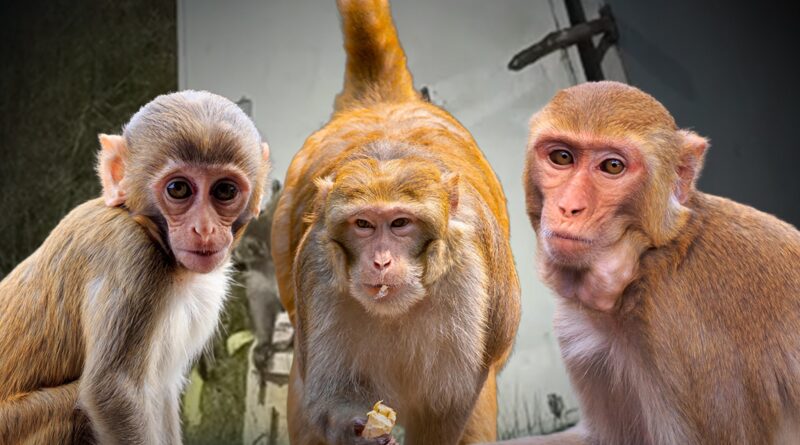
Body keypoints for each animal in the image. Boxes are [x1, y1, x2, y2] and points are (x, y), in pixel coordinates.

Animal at [0, 90, 270, 444]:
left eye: (225, 190)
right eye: (178, 189)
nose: (205, 229)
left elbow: (162, 391)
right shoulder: (131, 255)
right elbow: (112, 391)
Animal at [270, 1, 521, 444]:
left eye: (401, 223)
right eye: (363, 225)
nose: (381, 261)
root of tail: (379, 100)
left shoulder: (469, 274)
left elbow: (448, 407)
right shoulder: (317, 271)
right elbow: (327, 400)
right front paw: (357, 428)